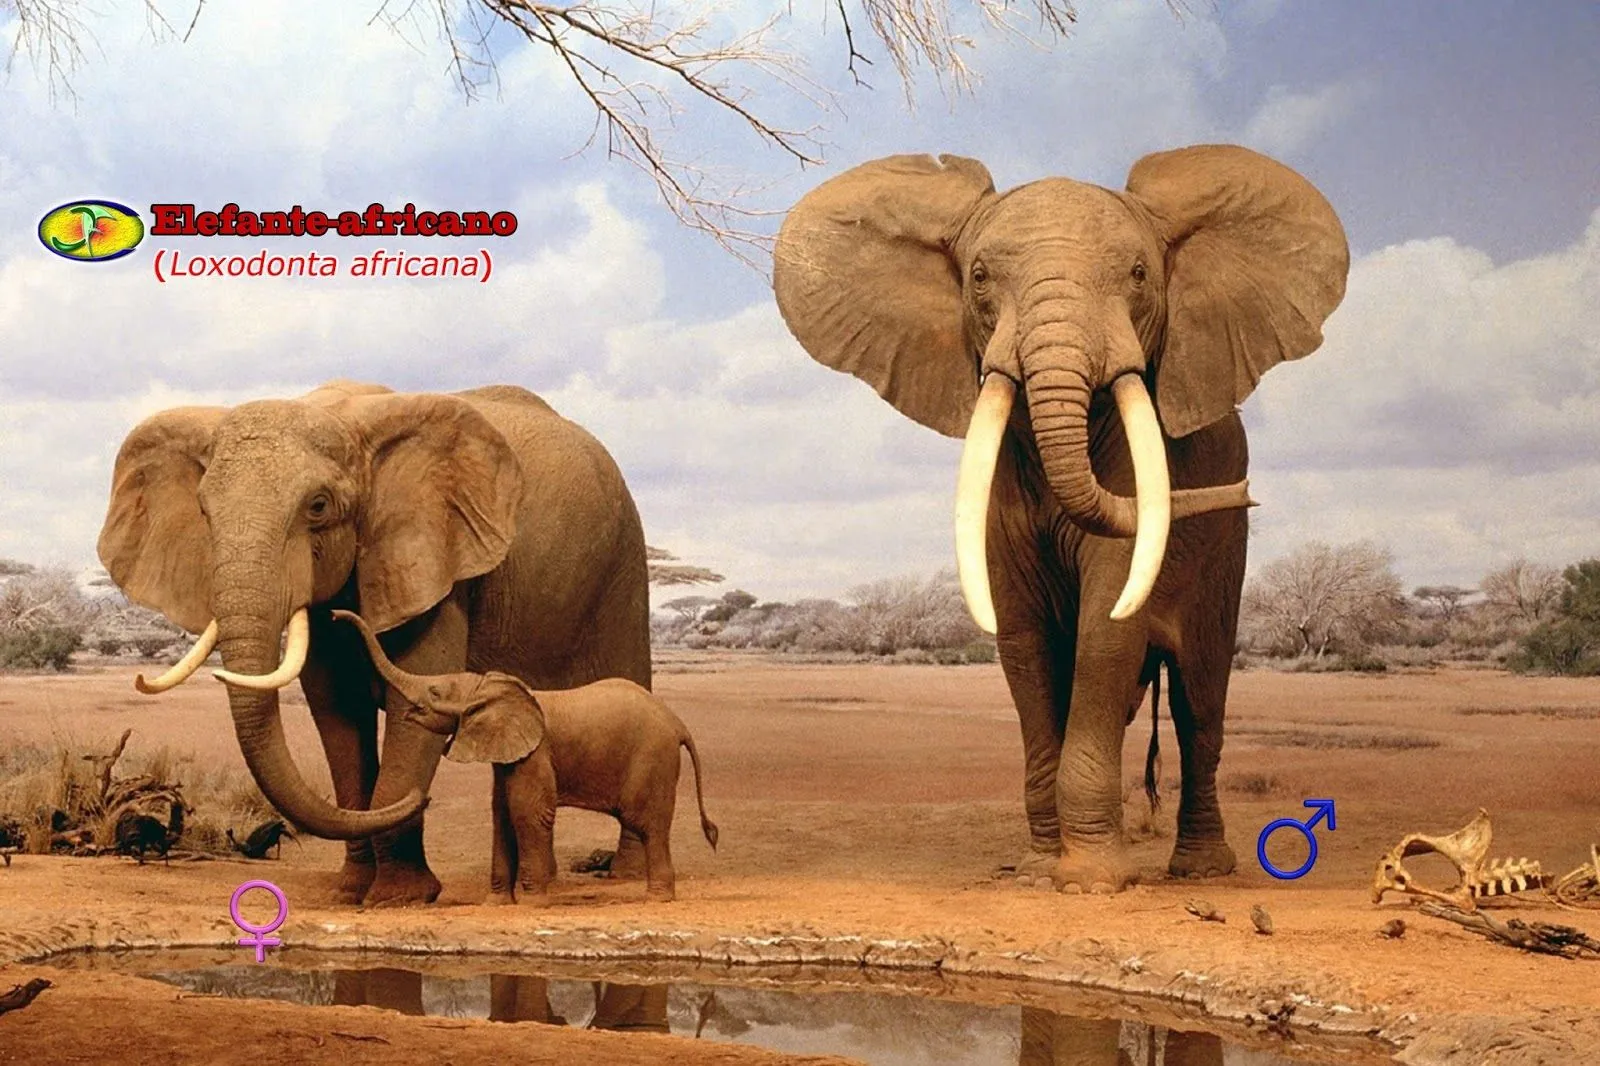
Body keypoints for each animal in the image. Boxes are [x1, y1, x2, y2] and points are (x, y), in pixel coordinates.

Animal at [96, 380, 652, 905]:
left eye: (318, 507)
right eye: (204, 512)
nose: (423, 799)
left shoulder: (434, 562)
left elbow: (413, 699)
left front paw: (398, 898)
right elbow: (336, 713)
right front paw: (351, 892)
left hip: (624, 561)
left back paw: (626, 875)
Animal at [336, 609, 718, 903]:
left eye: (434, 691)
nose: (335, 615)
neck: (489, 688)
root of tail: (678, 723)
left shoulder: (536, 753)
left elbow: (528, 813)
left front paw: (533, 903)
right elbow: (502, 813)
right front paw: (496, 903)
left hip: (653, 757)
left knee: (648, 824)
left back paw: (657, 898)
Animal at [774, 145, 1348, 892]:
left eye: (1138, 274)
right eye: (980, 277)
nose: (1245, 493)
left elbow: (1108, 630)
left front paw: (1092, 881)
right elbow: (1024, 641)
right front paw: (1038, 868)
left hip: (1228, 554)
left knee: (1200, 701)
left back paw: (1200, 871)